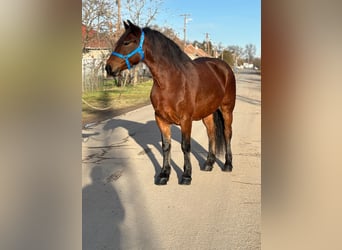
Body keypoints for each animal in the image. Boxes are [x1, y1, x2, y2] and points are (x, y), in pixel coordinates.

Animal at [105, 21, 236, 186]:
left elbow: (185, 146)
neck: (171, 82)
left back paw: (228, 164)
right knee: (211, 133)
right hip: (207, 112)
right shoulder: (161, 119)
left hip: (227, 109)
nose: (108, 68)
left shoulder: (186, 120)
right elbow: (166, 147)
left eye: (127, 42)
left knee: (227, 133)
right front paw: (164, 174)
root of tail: (224, 67)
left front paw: (186, 175)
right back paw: (208, 164)